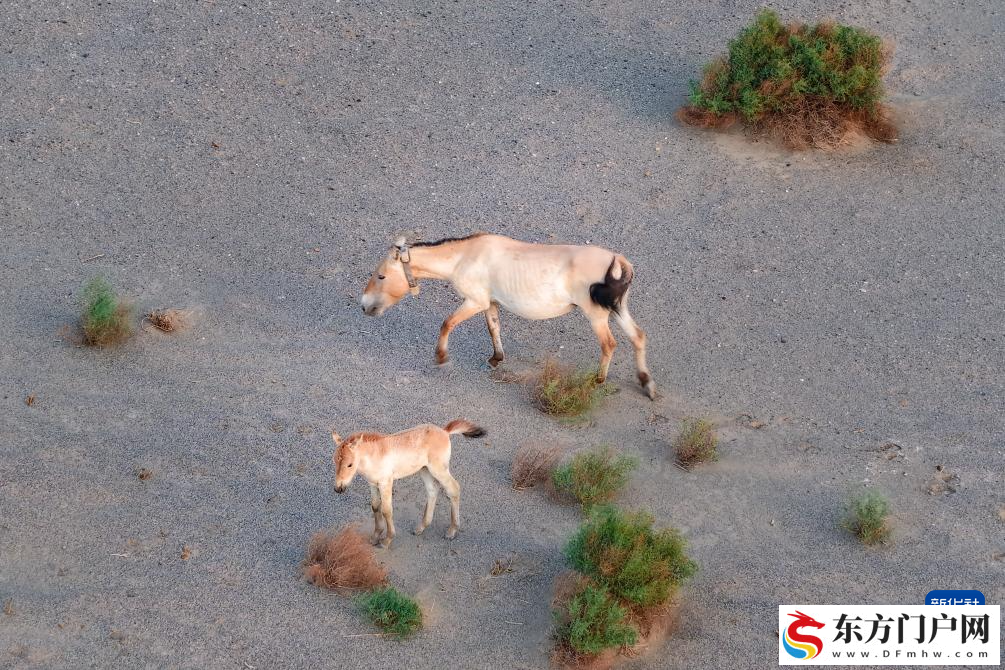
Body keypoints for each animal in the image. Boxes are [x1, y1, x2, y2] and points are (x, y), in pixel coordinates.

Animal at [332, 419, 486, 548]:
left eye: (350, 464)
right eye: (334, 461)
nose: (339, 488)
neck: (375, 455)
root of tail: (445, 431)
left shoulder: (386, 483)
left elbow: (386, 510)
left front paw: (386, 540)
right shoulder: (373, 484)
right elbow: (375, 507)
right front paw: (375, 537)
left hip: (438, 469)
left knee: (453, 489)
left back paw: (451, 531)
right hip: (424, 469)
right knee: (432, 490)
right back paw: (421, 527)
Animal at [359, 232, 656, 399]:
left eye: (381, 276)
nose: (364, 306)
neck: (464, 256)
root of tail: (618, 260)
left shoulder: (475, 301)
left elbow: (447, 323)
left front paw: (441, 357)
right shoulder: (490, 303)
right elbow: (494, 329)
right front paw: (496, 358)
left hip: (597, 315)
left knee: (609, 344)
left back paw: (599, 380)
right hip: (618, 309)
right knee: (638, 337)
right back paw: (647, 384)